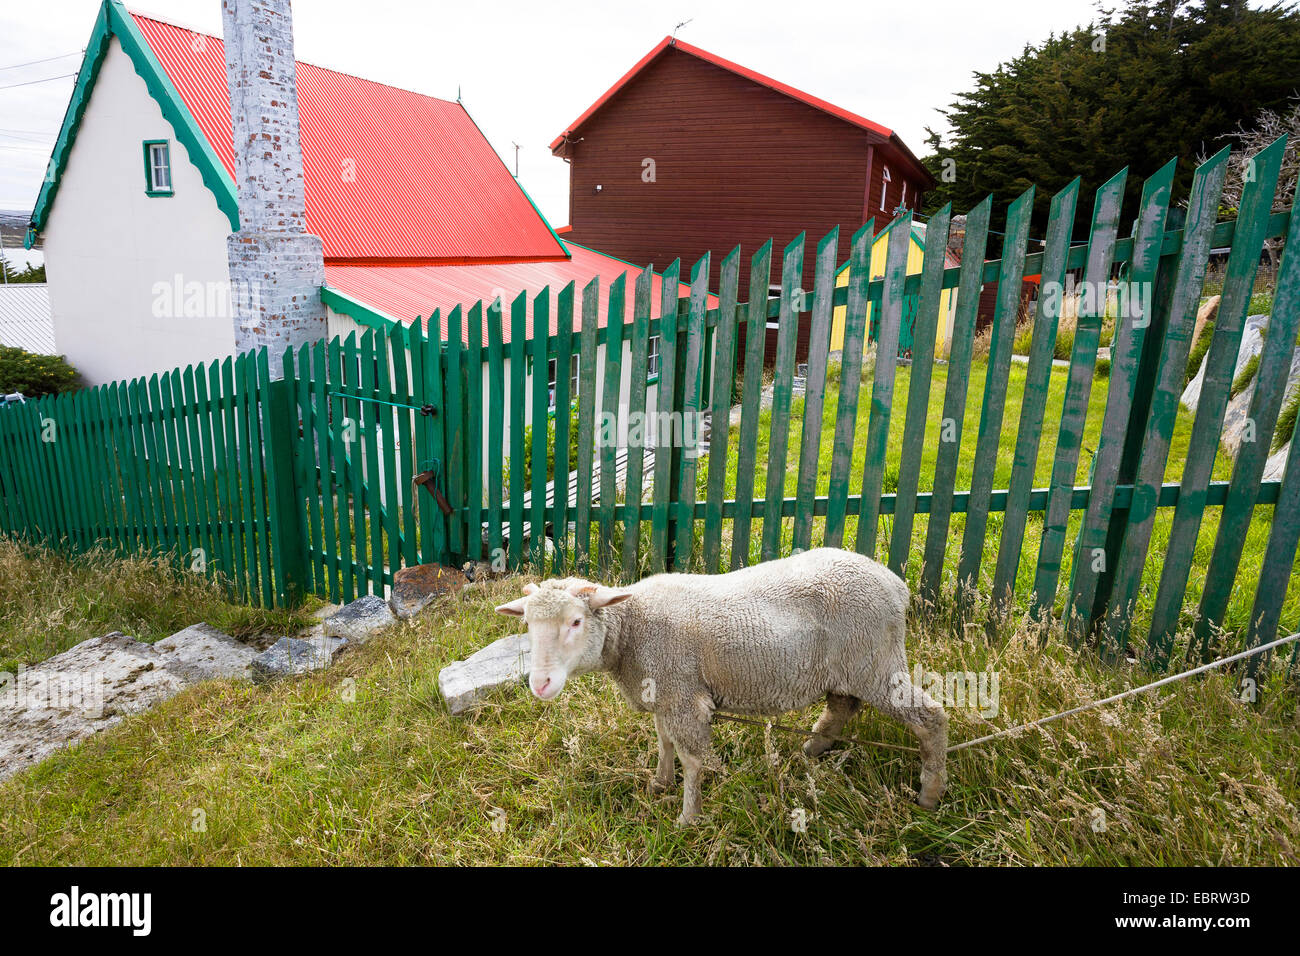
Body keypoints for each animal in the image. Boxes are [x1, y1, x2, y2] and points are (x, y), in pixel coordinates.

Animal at [496, 548, 946, 827]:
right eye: (527, 624)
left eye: (576, 621)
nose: (540, 684)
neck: (633, 629)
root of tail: (896, 585)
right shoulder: (664, 692)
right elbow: (663, 741)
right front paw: (660, 783)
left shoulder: (682, 695)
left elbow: (692, 758)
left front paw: (688, 817)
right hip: (852, 668)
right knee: (843, 706)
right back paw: (814, 748)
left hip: (878, 664)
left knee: (931, 717)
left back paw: (930, 793)